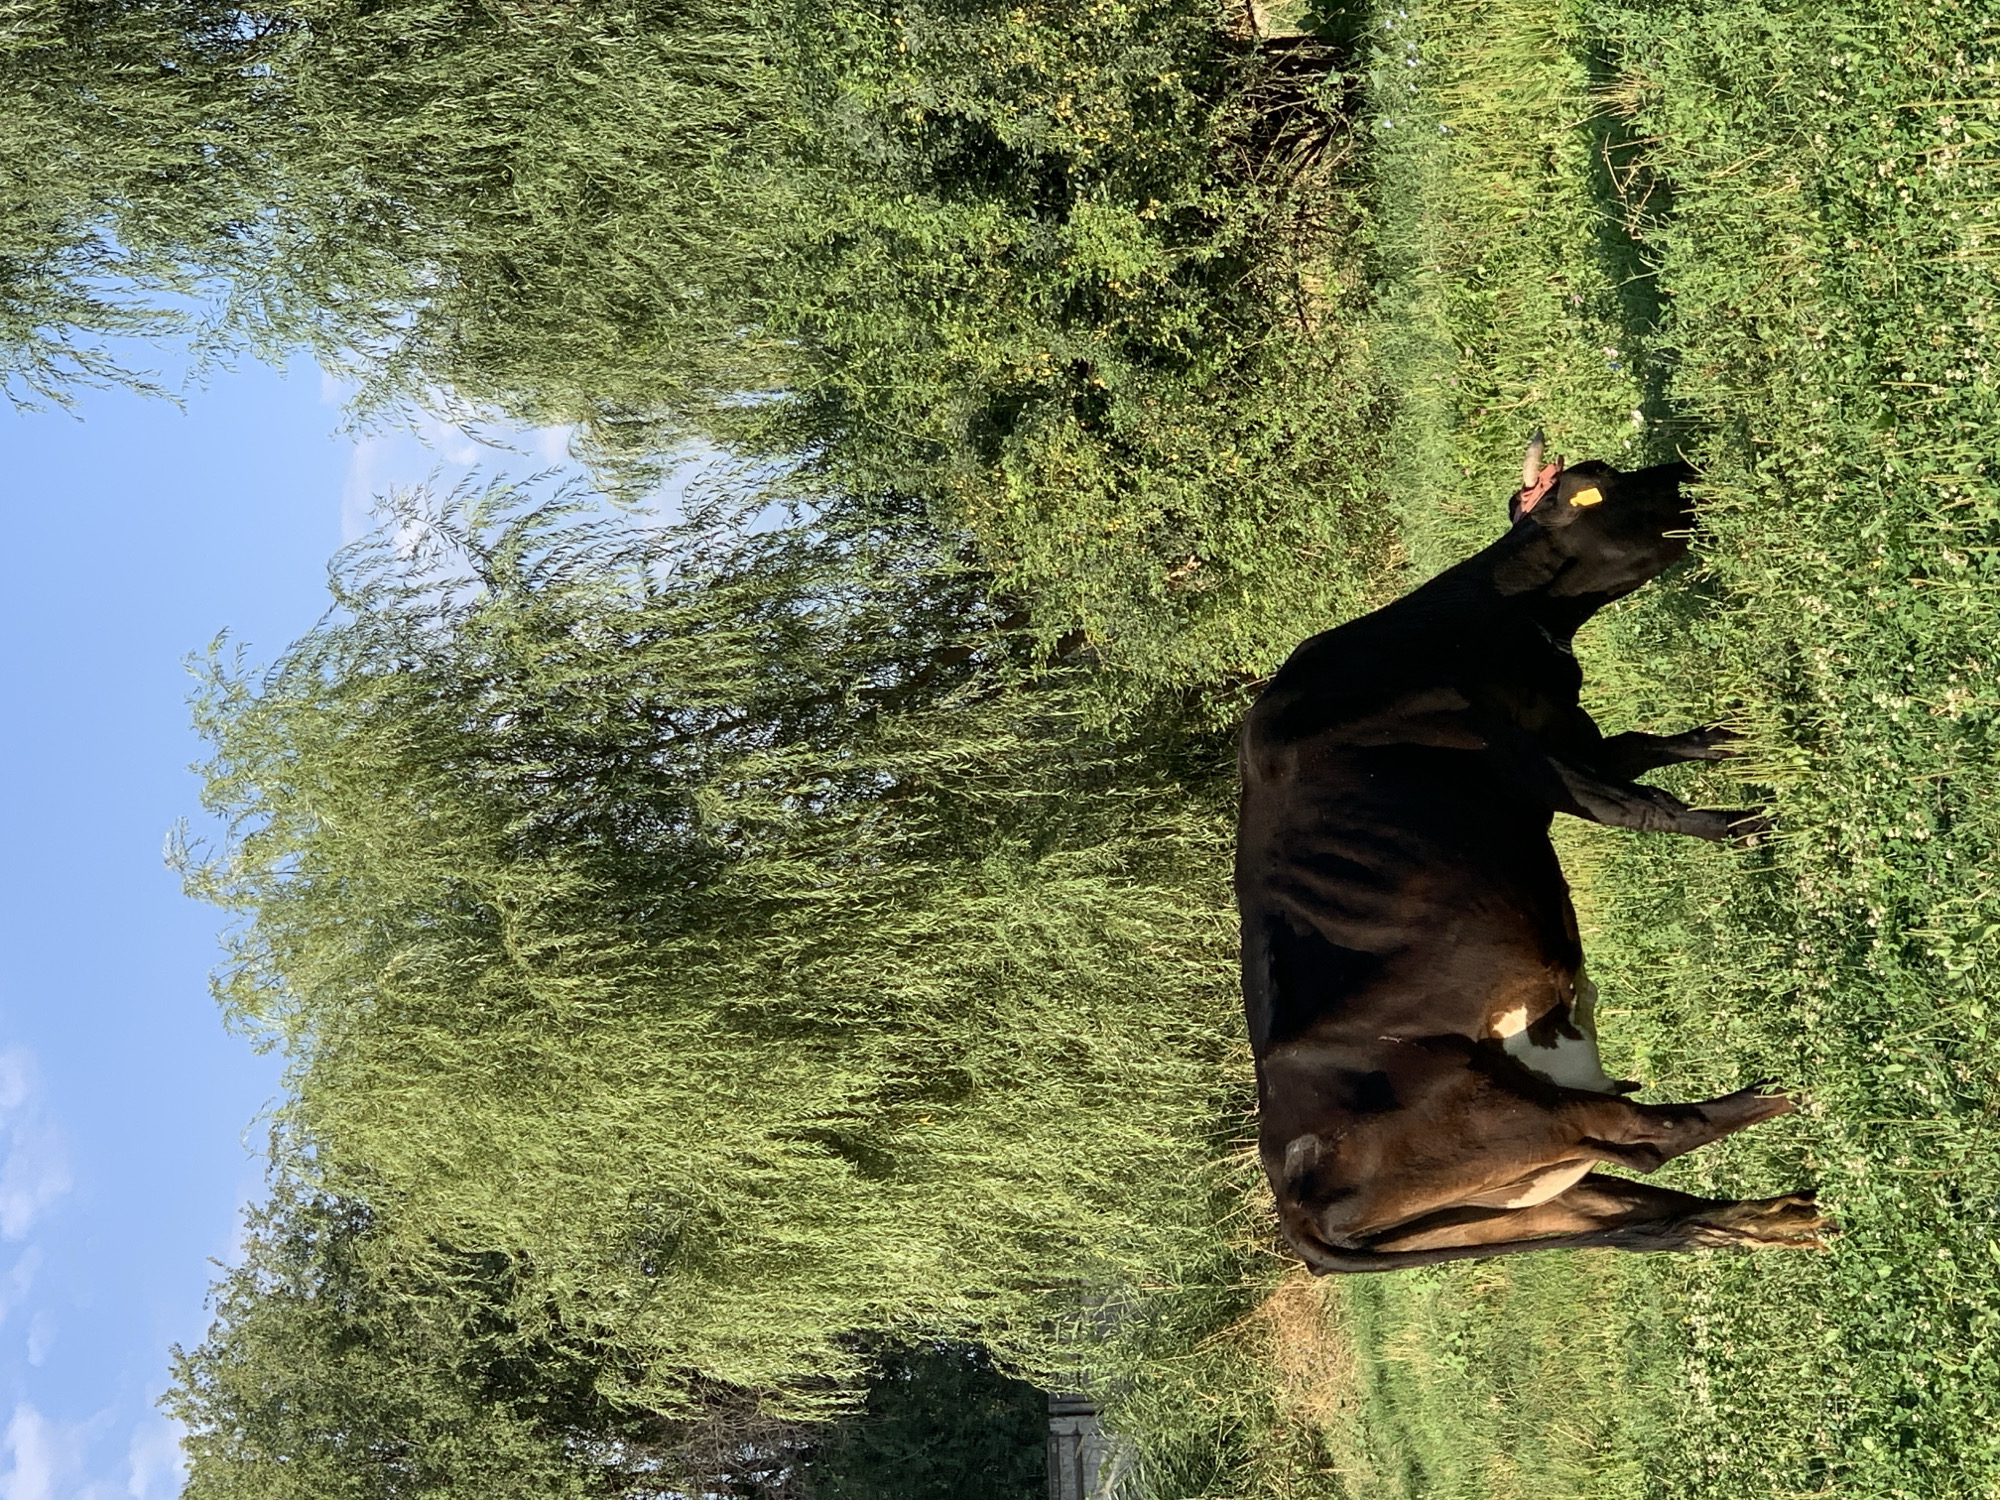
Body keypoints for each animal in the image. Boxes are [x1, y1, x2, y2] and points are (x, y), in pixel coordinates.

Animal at [1236, 437, 1826, 1273]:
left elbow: (1655, 746)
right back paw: (1787, 1090)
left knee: (1654, 1214)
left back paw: (1781, 1218)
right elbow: (1643, 806)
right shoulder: (1525, 757)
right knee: (1658, 1135)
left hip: (1519, 1199)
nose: (1685, 467)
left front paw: (1735, 738)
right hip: (1510, 1111)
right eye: (1600, 486)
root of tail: (1290, 1197)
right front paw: (1752, 825)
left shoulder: (1566, 730)